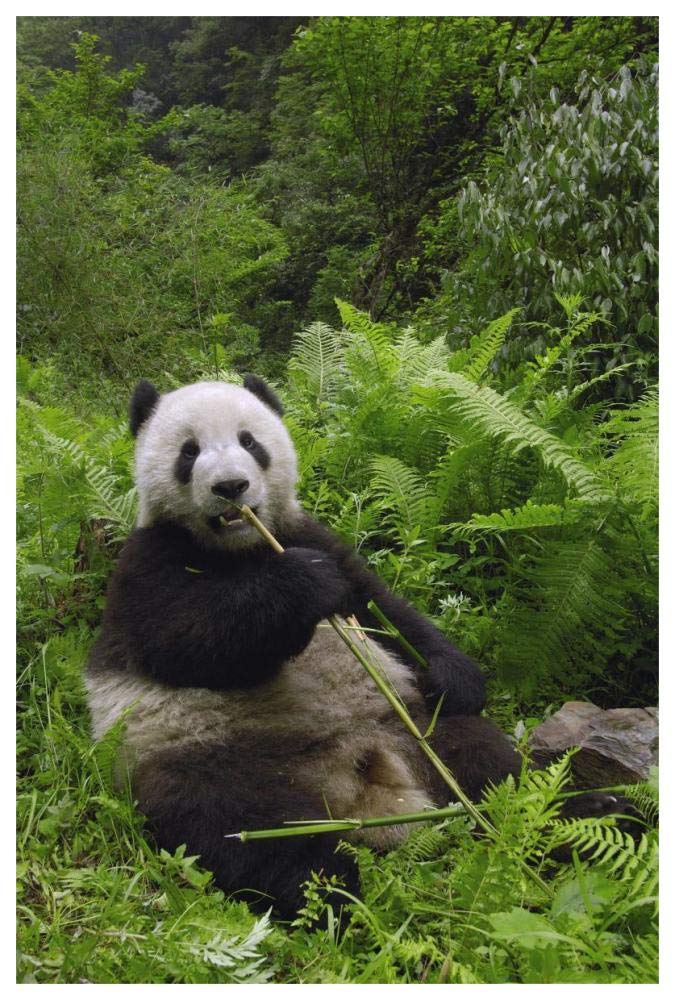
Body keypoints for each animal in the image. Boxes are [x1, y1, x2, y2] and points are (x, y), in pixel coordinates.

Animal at [85, 374, 525, 918]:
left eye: (250, 441)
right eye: (189, 452)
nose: (230, 487)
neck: (242, 547)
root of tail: (361, 778)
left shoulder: (309, 533)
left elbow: (385, 612)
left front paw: (453, 676)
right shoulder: (145, 564)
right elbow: (185, 640)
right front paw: (303, 583)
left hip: (414, 726)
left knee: (489, 762)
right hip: (208, 759)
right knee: (246, 829)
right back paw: (336, 894)